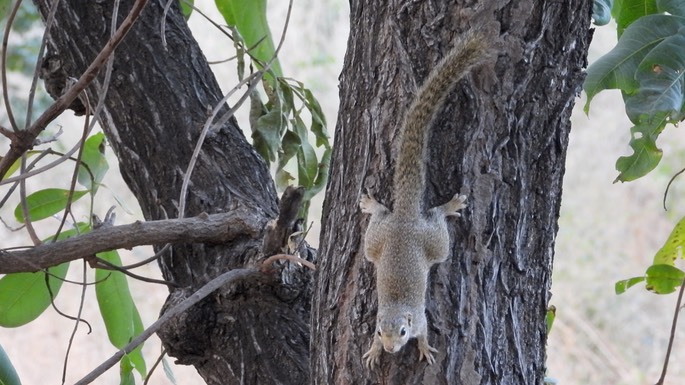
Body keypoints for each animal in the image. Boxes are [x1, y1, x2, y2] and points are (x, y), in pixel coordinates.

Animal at [360, 31, 488, 368]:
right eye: (380, 332)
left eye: (404, 332)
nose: (391, 349)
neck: (396, 307)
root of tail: (405, 218)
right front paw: (373, 352)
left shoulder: (420, 319)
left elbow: (427, 331)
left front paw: (425, 348)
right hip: (377, 242)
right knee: (381, 218)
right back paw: (373, 205)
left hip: (434, 243)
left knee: (437, 221)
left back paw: (449, 207)